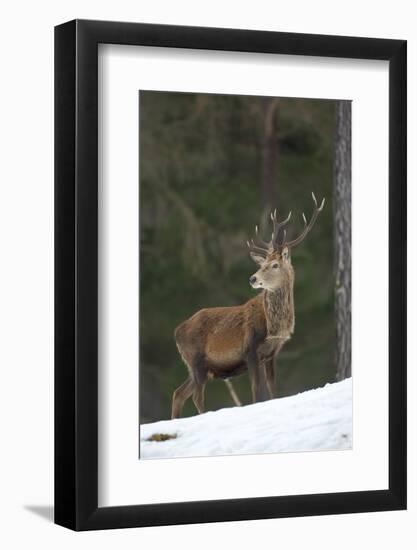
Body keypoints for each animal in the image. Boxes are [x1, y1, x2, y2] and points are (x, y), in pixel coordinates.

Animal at [171, 193, 324, 418]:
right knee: (196, 396)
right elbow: (256, 390)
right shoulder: (250, 348)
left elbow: (272, 389)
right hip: (195, 359)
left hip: (200, 367)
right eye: (262, 264)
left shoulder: (271, 353)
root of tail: (176, 332)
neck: (273, 327)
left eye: (274, 265)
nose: (253, 278)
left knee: (179, 393)